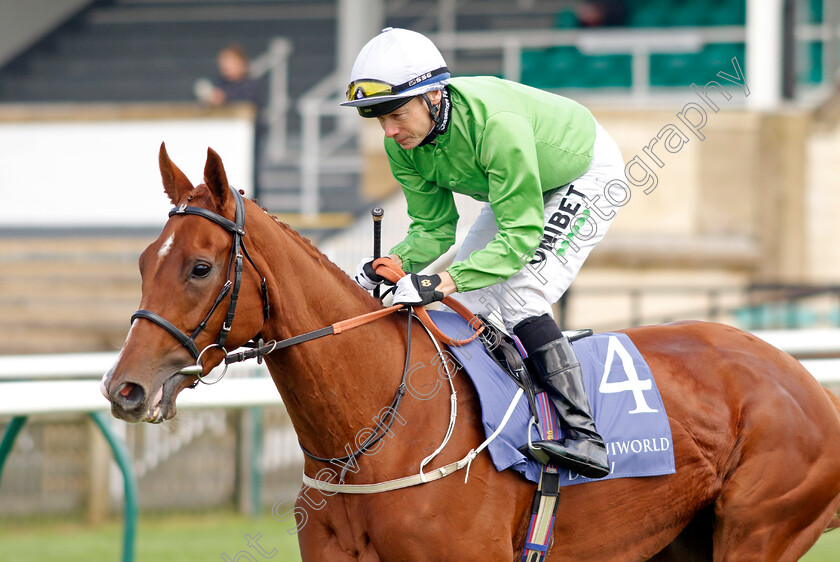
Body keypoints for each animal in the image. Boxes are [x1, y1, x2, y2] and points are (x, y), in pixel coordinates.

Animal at [101, 145, 840, 560]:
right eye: (141, 263)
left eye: (200, 268)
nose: (124, 389)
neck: (377, 434)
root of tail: (806, 382)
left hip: (759, 530)